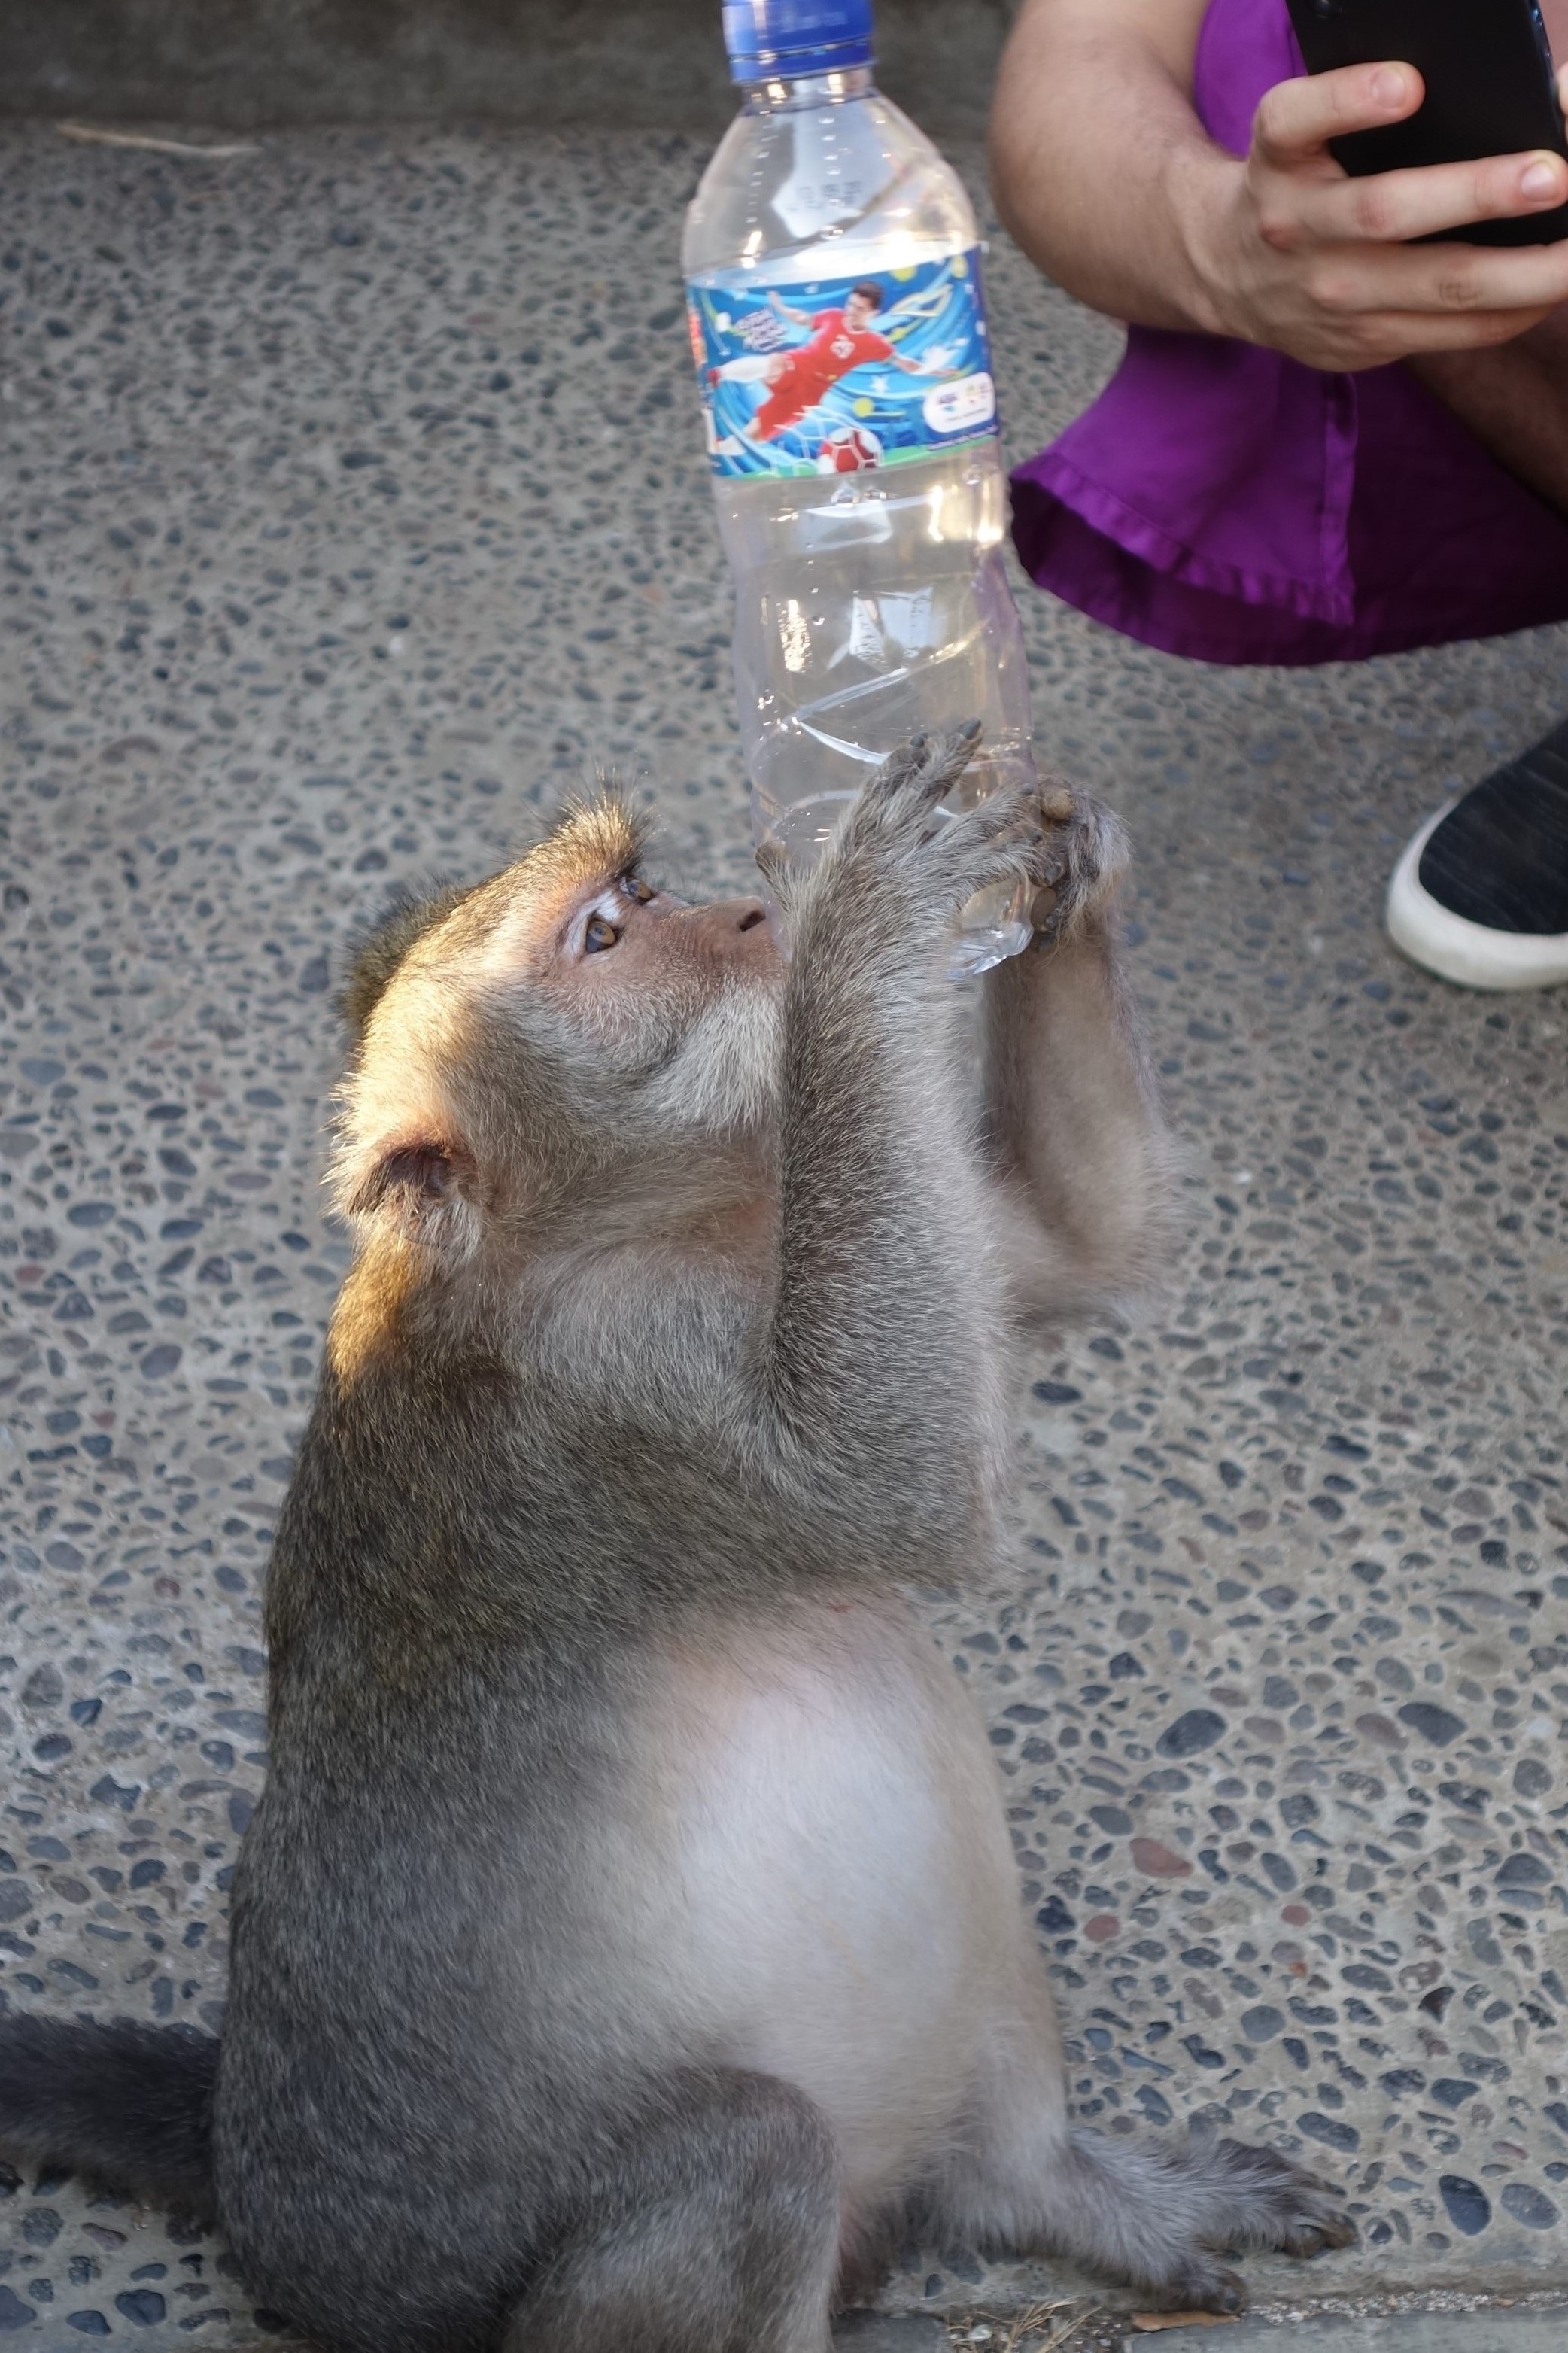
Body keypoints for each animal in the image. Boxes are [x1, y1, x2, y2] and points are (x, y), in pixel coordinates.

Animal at [0, 729, 1353, 2353]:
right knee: (754, 2155)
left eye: (642, 891)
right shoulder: (615, 1385)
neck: (613, 1227)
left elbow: (1080, 1253)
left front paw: (1058, 861)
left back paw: (1056, 2187)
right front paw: (867, 919)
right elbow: (896, 1478)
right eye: (603, 934)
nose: (751, 914)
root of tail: (260, 2202)